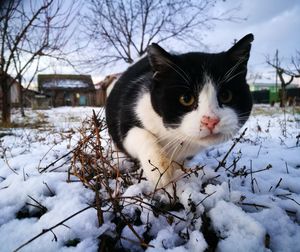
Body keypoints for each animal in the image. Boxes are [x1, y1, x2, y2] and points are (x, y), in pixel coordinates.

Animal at [105, 33, 253, 189]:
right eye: (186, 98)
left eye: (225, 95)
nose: (210, 121)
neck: (176, 135)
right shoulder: (131, 111)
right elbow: (137, 134)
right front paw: (160, 170)